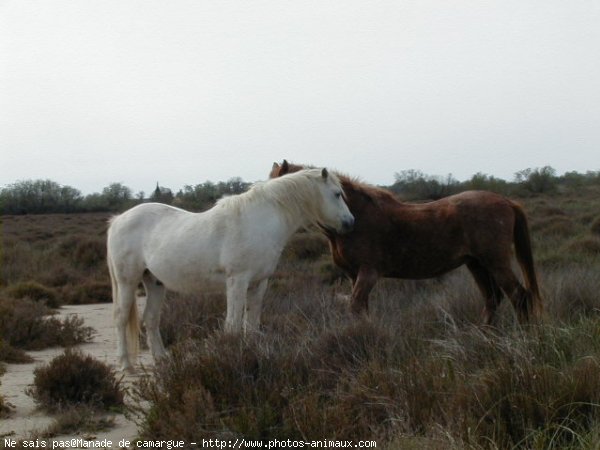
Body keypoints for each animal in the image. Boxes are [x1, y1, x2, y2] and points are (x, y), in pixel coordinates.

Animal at [107, 167, 354, 370]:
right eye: (336, 194)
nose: (350, 223)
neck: (260, 221)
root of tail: (118, 219)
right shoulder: (237, 280)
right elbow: (233, 325)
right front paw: (231, 357)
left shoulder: (259, 283)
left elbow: (251, 324)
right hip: (127, 281)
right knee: (120, 318)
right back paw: (125, 364)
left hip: (155, 282)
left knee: (151, 319)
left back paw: (162, 360)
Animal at [272, 161, 544, 324]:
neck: (355, 218)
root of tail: (507, 202)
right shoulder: (353, 275)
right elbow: (362, 309)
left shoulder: (368, 273)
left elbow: (356, 307)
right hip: (476, 264)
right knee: (492, 299)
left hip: (495, 261)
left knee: (518, 296)